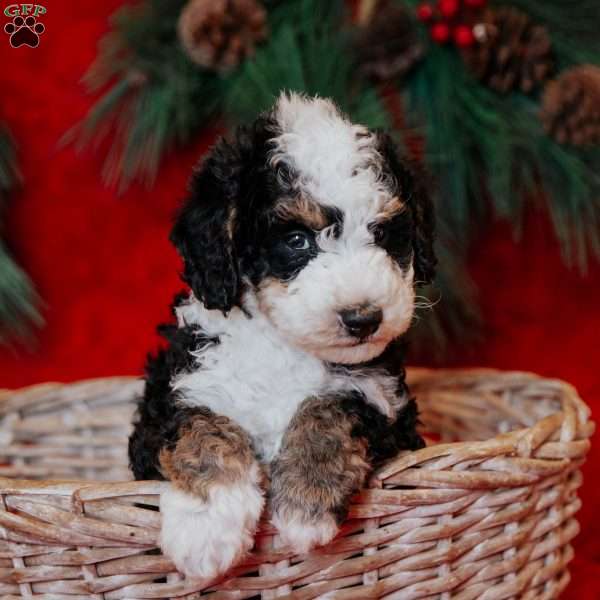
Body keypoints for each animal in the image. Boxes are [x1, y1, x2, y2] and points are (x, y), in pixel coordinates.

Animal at [127, 95, 436, 580]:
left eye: (383, 233)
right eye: (295, 240)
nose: (364, 319)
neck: (284, 347)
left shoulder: (388, 406)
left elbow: (330, 404)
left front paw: (306, 504)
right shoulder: (177, 393)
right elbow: (200, 427)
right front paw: (207, 525)